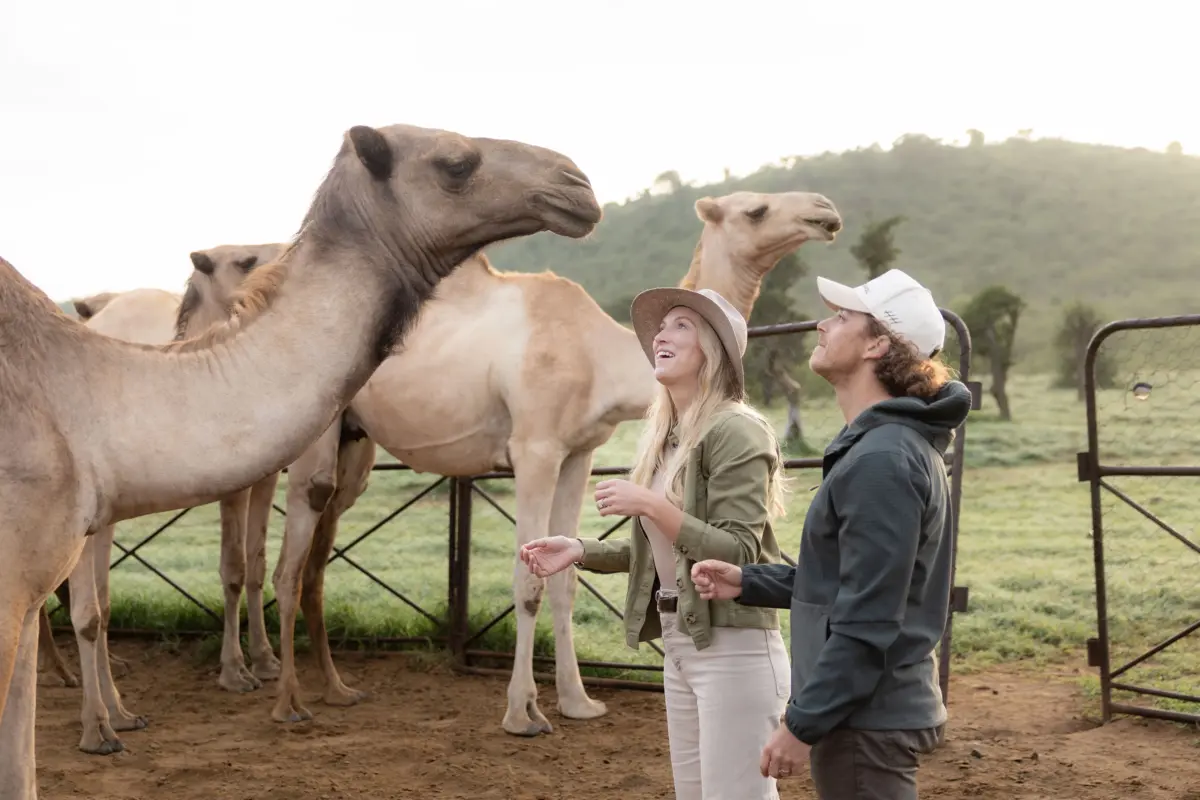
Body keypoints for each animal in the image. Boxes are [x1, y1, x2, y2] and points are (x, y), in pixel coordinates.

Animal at [172, 190, 843, 734]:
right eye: (756, 209)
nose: (824, 211)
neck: (599, 354)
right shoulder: (535, 447)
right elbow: (528, 582)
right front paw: (523, 712)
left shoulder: (579, 453)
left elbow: (566, 578)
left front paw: (578, 703)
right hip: (311, 432)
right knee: (288, 556)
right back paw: (285, 701)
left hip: (354, 443)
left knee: (312, 561)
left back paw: (335, 689)